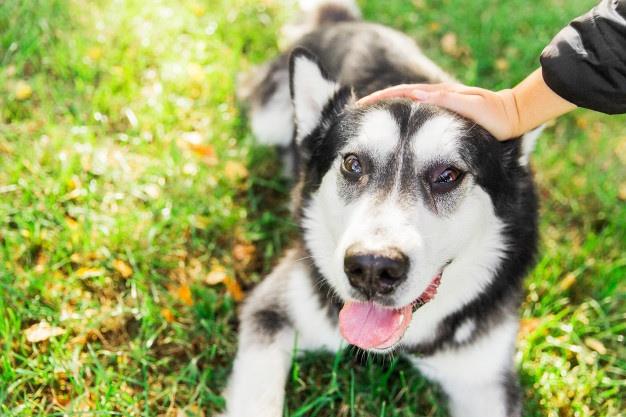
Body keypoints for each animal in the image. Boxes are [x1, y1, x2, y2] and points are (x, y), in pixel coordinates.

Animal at [223, 1, 536, 414]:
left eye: (448, 175)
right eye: (353, 164)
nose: (372, 268)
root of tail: (347, 23)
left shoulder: (485, 378)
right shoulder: (270, 309)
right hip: (267, 121)